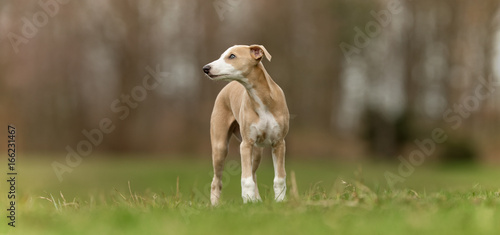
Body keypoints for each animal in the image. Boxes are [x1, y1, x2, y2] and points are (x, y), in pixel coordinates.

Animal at [202, 44, 290, 206]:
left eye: (232, 56)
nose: (206, 68)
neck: (261, 99)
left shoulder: (279, 143)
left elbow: (279, 177)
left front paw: (280, 200)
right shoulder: (246, 144)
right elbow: (246, 179)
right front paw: (247, 200)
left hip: (257, 151)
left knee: (254, 174)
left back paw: (257, 200)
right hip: (220, 147)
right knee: (216, 180)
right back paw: (215, 205)